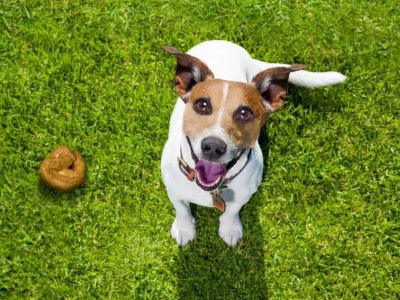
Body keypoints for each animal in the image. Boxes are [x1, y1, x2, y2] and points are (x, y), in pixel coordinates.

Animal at [159, 39, 344, 246]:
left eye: (244, 113)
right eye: (202, 105)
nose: (213, 146)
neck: (214, 189)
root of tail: (223, 43)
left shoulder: (244, 195)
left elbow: (231, 212)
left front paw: (230, 229)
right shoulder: (173, 190)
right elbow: (181, 209)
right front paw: (185, 229)